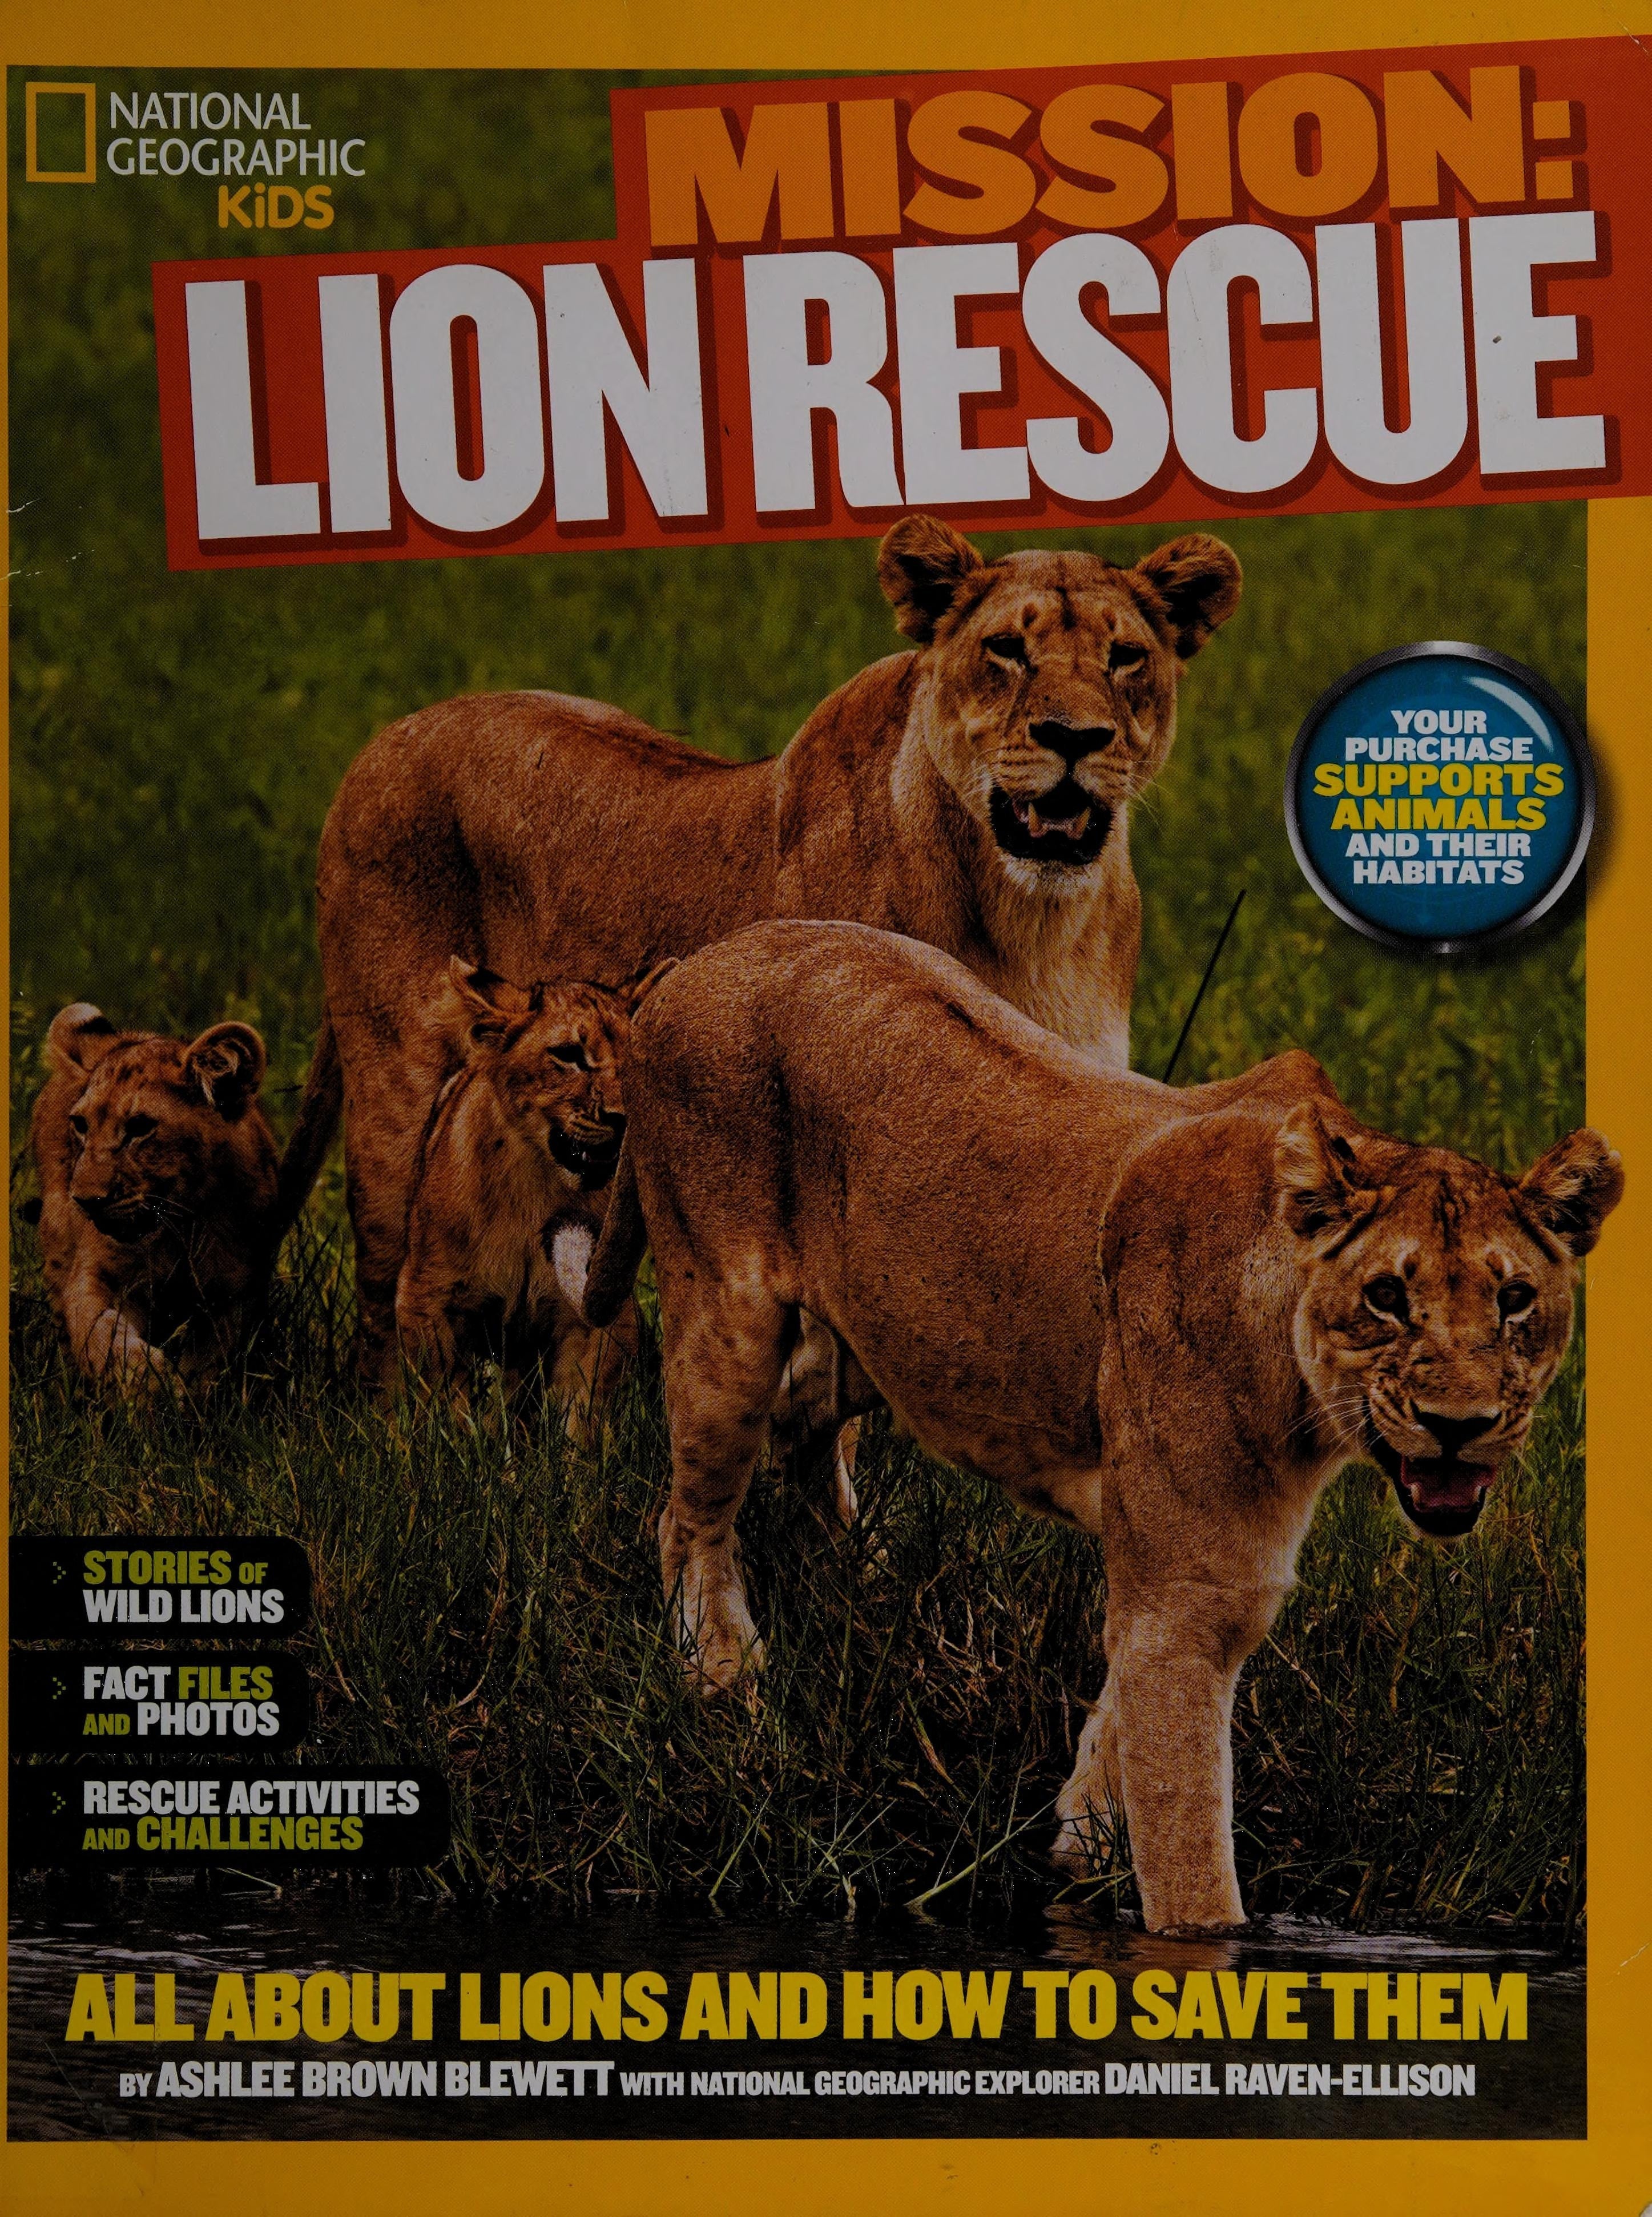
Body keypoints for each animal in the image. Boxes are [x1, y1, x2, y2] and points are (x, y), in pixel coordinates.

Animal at [28, 1002, 280, 1390]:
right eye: (82, 1125)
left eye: (140, 1128)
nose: (86, 1200)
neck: (182, 1227)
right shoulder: (95, 1277)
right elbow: (102, 1334)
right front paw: (145, 1381)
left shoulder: (235, 1295)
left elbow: (209, 1365)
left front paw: (182, 1394)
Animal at [393, 957, 667, 1439]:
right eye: (569, 1056)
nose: (626, 1117)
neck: (536, 1185)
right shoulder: (426, 1300)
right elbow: (447, 1408)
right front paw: (460, 1452)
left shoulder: (595, 1312)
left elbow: (583, 1413)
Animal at [579, 921, 1622, 1934]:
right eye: (1386, 1297)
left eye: (1514, 1299)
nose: (1458, 1425)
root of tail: (701, 957)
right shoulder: (1193, 1595)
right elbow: (1189, 1853)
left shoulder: (1202, 1576)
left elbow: (1117, 1739)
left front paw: (1077, 1841)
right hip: (727, 1313)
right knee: (688, 1517)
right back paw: (726, 1682)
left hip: (877, 1340)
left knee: (801, 1430)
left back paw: (849, 1582)